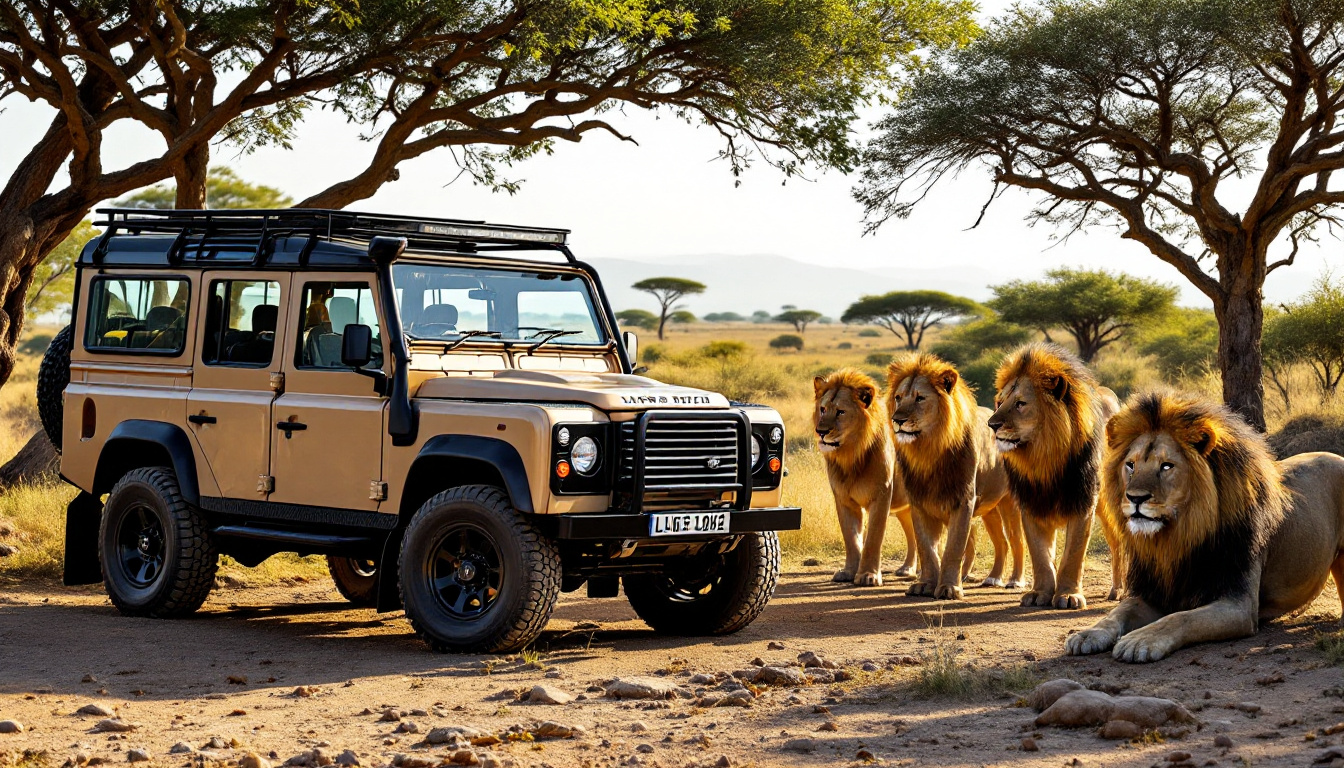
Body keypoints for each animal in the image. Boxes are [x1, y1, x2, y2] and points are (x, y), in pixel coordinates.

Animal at [811, 368, 919, 586]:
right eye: (823, 409)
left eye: (841, 412)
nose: (821, 431)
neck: (851, 455)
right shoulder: (844, 501)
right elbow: (852, 539)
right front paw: (849, 572)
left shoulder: (880, 497)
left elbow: (872, 539)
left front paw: (868, 575)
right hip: (905, 507)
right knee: (913, 535)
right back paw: (908, 569)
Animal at [887, 355, 1021, 599]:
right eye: (898, 398)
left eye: (920, 398)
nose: (896, 419)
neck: (928, 450)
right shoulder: (919, 503)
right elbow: (927, 549)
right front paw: (925, 585)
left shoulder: (963, 501)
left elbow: (953, 548)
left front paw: (949, 588)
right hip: (989, 508)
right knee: (1002, 543)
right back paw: (993, 578)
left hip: (1010, 503)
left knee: (1017, 540)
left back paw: (1015, 581)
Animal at [989, 344, 1123, 610]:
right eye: (999, 402)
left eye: (1020, 403)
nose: (991, 424)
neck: (1044, 458)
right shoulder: (1031, 503)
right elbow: (1040, 555)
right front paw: (1040, 593)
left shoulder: (1083, 502)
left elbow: (1073, 554)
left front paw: (1068, 595)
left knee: (1120, 543)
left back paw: (1120, 590)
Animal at [1064, 392, 1344, 664]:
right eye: (1130, 465)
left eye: (1166, 466)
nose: (1135, 498)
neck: (1176, 538)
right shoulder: (1152, 593)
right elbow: (1116, 613)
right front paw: (1088, 634)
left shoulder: (1238, 605)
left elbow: (1181, 618)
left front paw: (1140, 640)